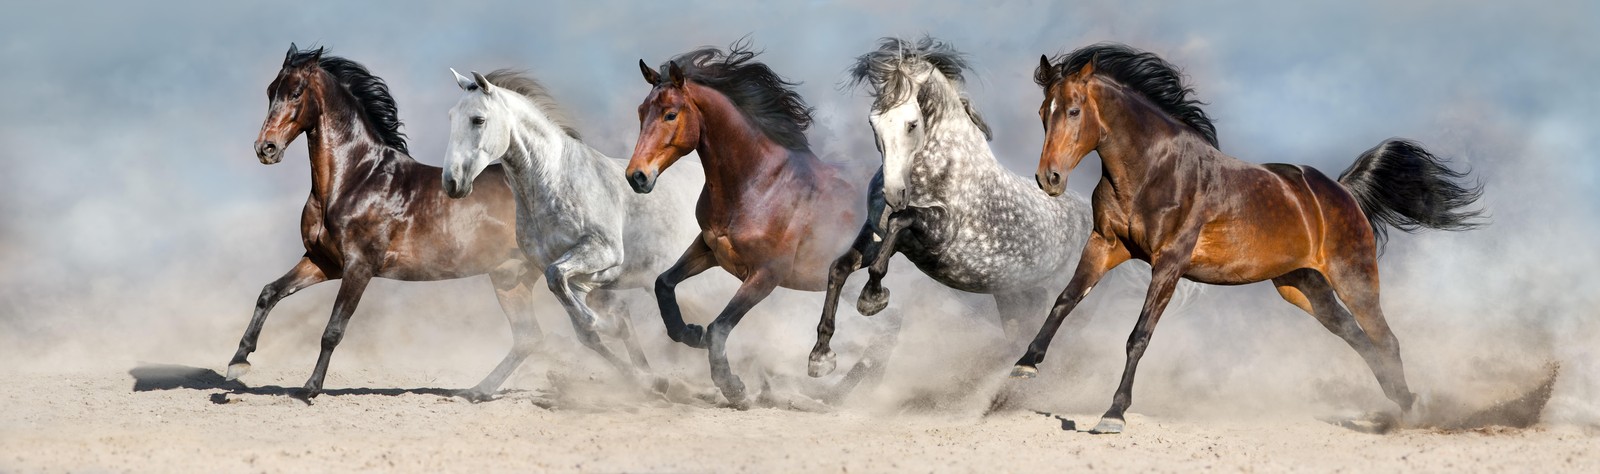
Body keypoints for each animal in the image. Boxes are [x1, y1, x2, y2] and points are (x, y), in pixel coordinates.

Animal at [229, 44, 539, 401]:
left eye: (296, 93)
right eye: (270, 92)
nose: (266, 148)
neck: (356, 178)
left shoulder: (359, 267)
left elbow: (333, 330)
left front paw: (310, 388)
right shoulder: (323, 262)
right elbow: (270, 293)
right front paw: (238, 362)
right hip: (509, 279)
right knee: (528, 338)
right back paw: (474, 392)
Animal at [442, 69, 705, 393]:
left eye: (478, 119)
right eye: (451, 117)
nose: (452, 182)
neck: (554, 180)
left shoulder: (602, 253)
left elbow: (577, 303)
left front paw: (613, 331)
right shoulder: (579, 276)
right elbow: (583, 327)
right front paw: (650, 381)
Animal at [626, 42, 872, 407]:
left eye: (670, 114)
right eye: (642, 112)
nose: (637, 177)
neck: (758, 183)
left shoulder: (767, 273)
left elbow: (719, 328)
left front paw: (734, 388)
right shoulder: (711, 247)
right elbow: (663, 284)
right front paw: (690, 333)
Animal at [804, 37, 1099, 379]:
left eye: (912, 124)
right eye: (873, 122)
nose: (894, 194)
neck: (938, 164)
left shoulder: (938, 232)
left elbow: (899, 226)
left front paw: (871, 299)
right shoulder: (878, 234)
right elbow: (839, 268)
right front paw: (820, 356)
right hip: (1018, 301)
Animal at [1013, 43, 1485, 433]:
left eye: (1074, 111)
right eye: (1042, 113)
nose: (1049, 179)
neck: (1152, 170)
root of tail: (1342, 191)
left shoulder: (1169, 263)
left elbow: (1138, 335)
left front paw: (1114, 414)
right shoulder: (1106, 245)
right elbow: (1065, 300)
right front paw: (1025, 365)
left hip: (1354, 276)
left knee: (1385, 339)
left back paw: (1410, 412)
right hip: (1302, 287)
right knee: (1356, 337)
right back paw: (1402, 401)